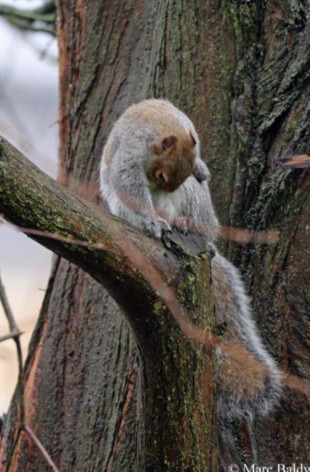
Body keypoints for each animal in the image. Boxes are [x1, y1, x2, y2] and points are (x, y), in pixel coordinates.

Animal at [100, 98, 284, 420]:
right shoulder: (129, 155)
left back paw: (186, 223)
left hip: (195, 201)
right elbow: (128, 185)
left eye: (184, 169)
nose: (164, 186)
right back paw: (157, 223)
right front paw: (150, 220)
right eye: (162, 175)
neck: (162, 125)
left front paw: (201, 167)